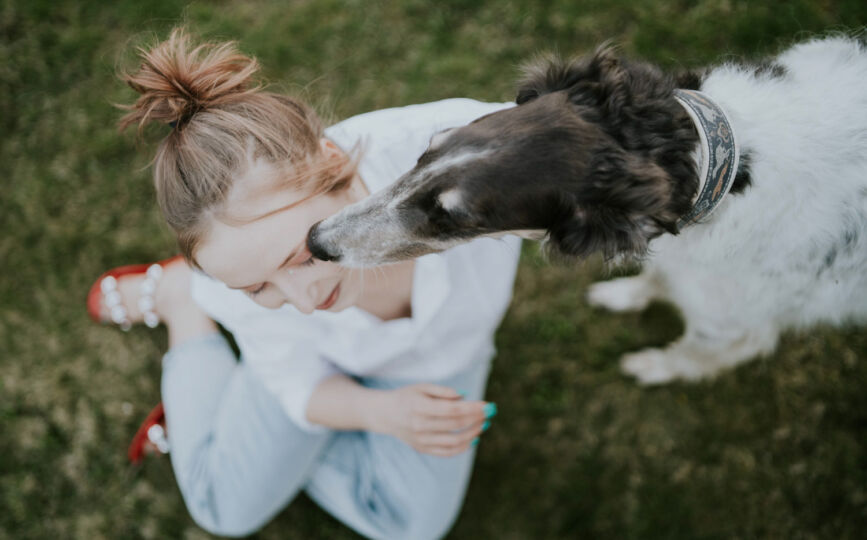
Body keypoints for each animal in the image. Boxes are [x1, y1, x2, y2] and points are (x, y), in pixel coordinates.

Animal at [308, 36, 867, 383]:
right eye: (428, 149)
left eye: (457, 218)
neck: (725, 173)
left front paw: (653, 367)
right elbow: (654, 279)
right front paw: (626, 296)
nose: (315, 241)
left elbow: (697, 353)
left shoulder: (730, 321)